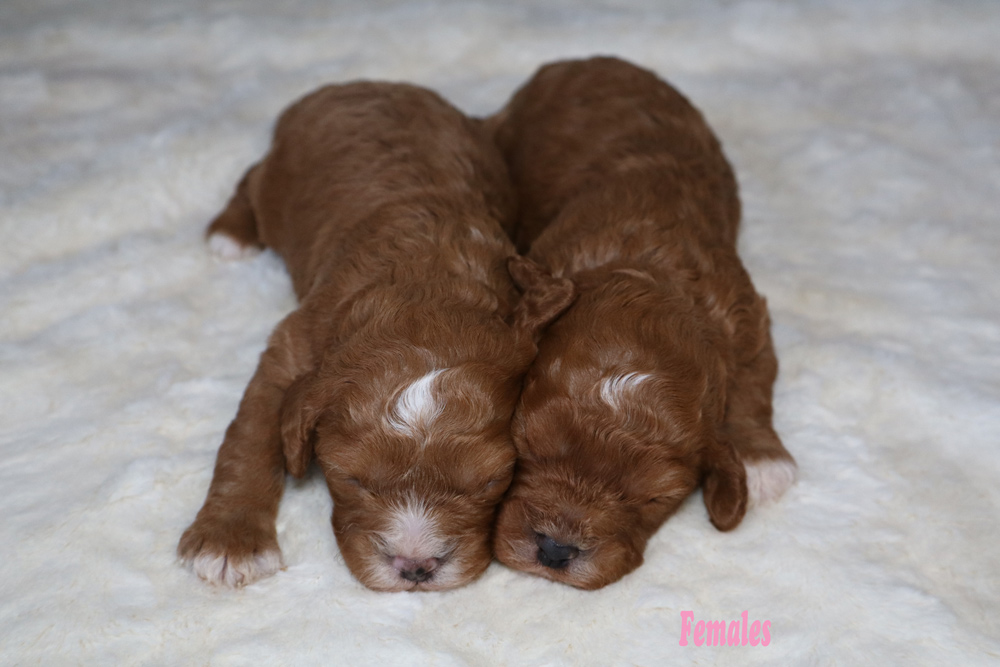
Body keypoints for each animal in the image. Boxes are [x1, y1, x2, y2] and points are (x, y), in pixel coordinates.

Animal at [178, 81, 574, 591]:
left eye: (490, 482)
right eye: (351, 479)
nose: (415, 567)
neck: (426, 290)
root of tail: (363, 84)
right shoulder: (293, 346)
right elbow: (250, 434)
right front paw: (229, 542)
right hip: (276, 183)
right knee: (252, 176)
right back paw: (232, 232)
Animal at [487, 57, 797, 589]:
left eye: (653, 499)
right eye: (526, 448)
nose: (554, 551)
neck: (652, 272)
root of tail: (581, 61)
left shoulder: (745, 319)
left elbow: (754, 386)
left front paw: (763, 463)